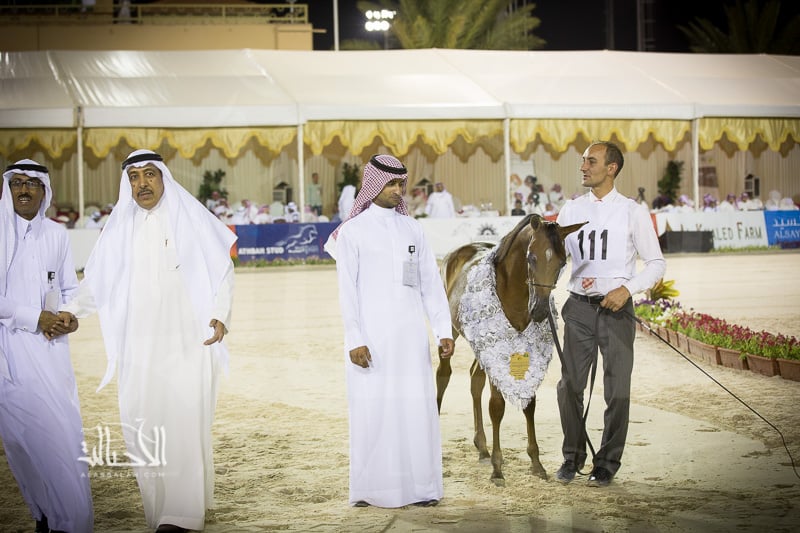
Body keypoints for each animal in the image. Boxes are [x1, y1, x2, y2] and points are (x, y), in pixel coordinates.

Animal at [435, 213, 586, 485]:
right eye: (531, 257)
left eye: (562, 262)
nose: (539, 310)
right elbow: (496, 407)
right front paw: (497, 469)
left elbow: (530, 404)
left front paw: (536, 463)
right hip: (450, 333)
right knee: (443, 375)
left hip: (481, 344)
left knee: (475, 380)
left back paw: (482, 447)